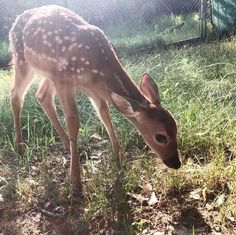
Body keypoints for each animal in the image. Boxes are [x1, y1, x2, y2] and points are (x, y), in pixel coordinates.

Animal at [8, 5, 180, 192]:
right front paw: (75, 181)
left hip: (49, 73)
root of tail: (15, 22)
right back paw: (20, 146)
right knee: (15, 95)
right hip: (22, 60)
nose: (176, 163)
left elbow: (104, 114)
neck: (98, 64)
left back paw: (66, 145)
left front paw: (119, 157)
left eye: (176, 129)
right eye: (161, 137)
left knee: (42, 95)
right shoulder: (66, 80)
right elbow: (73, 121)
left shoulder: (94, 90)